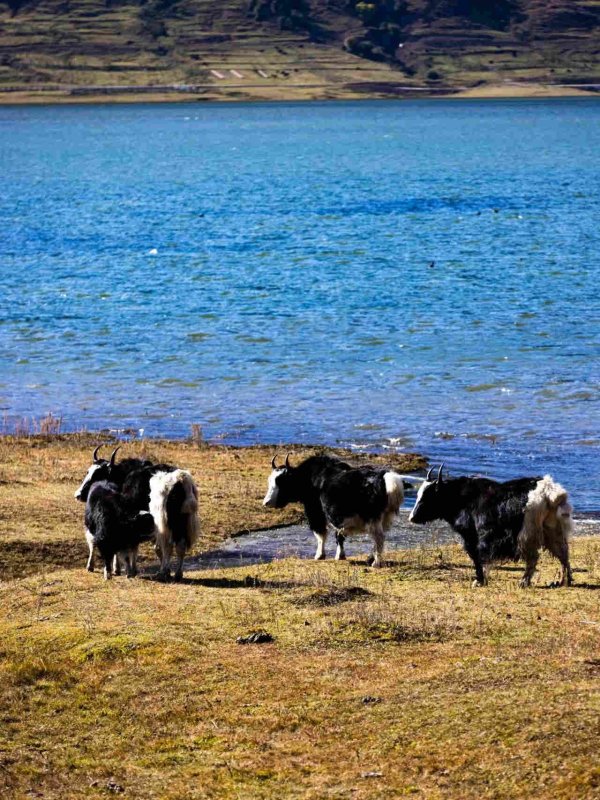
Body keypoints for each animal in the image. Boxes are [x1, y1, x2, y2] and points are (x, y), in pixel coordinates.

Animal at [75, 445, 199, 580]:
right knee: (180, 545)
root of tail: (180, 479)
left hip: (163, 521)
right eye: (88, 471)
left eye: (99, 474)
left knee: (167, 546)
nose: (78, 495)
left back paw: (163, 572)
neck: (124, 477)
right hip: (182, 520)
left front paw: (118, 569)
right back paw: (177, 574)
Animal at [262, 453, 406, 567]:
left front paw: (319, 555)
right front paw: (340, 556)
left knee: (379, 537)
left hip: (372, 518)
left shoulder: (315, 512)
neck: (309, 478)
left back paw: (376, 563)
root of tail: (386, 480)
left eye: (282, 481)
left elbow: (321, 534)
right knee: (379, 537)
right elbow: (339, 536)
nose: (266, 503)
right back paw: (370, 559)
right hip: (384, 518)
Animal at [408, 464, 573, 587]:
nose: (412, 518)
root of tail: (550, 493)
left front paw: (479, 581)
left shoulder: (472, 537)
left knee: (533, 558)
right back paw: (563, 581)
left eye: (428, 497)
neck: (460, 498)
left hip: (526, 535)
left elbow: (476, 557)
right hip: (553, 530)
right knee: (563, 553)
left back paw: (523, 582)